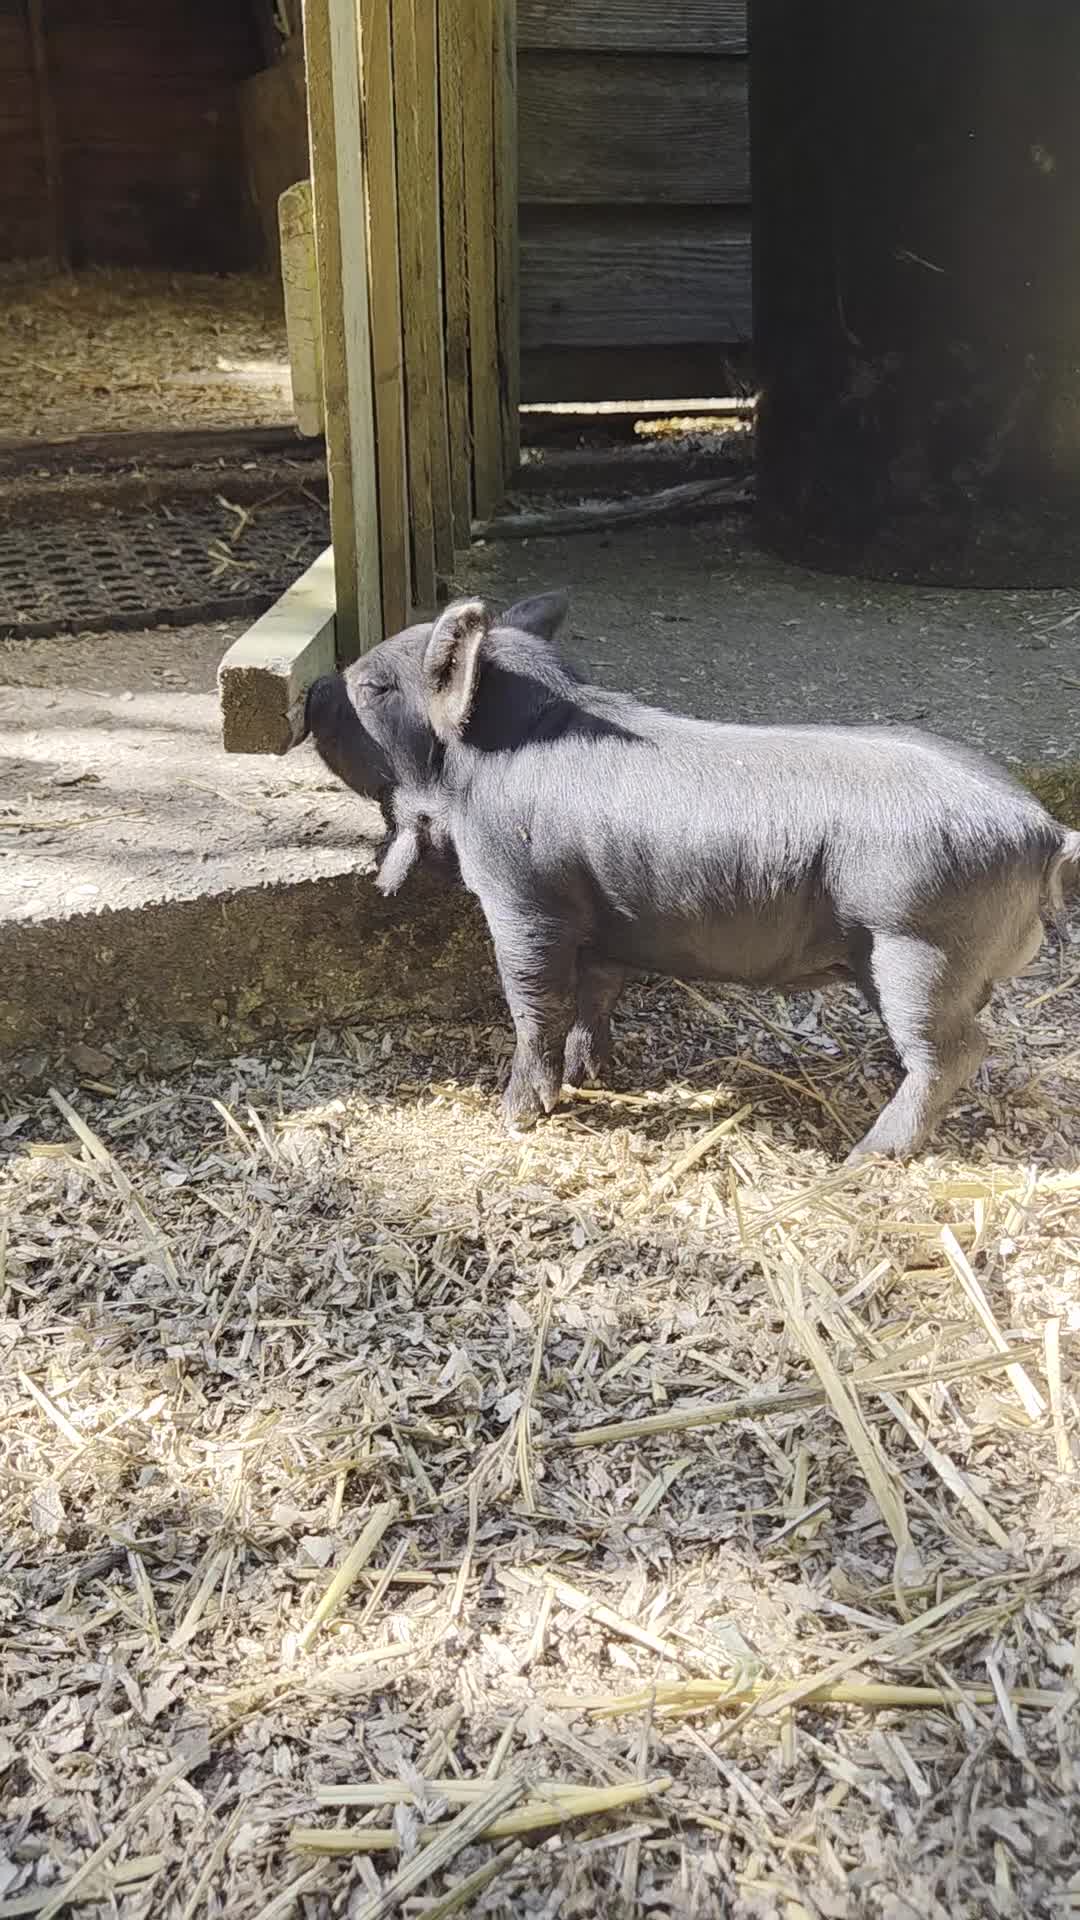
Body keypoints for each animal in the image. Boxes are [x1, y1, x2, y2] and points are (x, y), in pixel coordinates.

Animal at [306, 592, 1080, 1164]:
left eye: (373, 685)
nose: (313, 687)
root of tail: (1046, 830)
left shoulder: (522, 899)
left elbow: (536, 1005)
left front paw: (517, 1115)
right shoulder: (602, 918)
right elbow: (596, 992)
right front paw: (593, 1075)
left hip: (917, 947)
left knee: (957, 1050)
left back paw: (866, 1156)